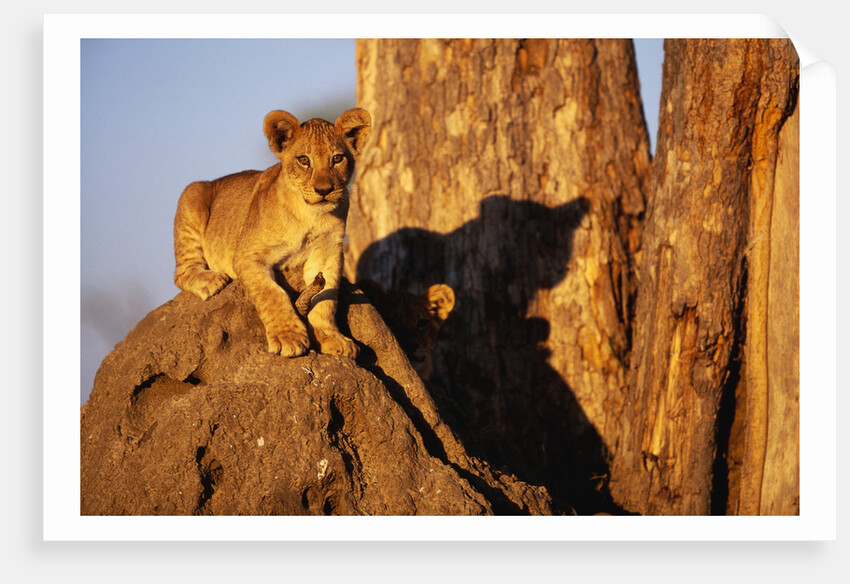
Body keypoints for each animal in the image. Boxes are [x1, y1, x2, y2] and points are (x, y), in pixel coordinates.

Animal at [173, 108, 371, 358]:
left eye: (337, 158)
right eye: (304, 160)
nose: (324, 190)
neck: (311, 216)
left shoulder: (328, 252)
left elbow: (326, 299)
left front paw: (331, 337)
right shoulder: (247, 255)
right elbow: (272, 293)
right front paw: (289, 337)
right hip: (193, 192)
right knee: (181, 272)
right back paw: (210, 281)